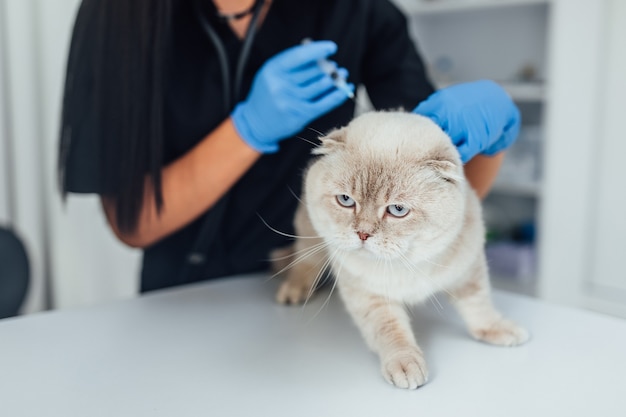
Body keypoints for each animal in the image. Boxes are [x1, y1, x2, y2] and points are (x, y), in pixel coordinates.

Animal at [272, 109, 528, 388]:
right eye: (346, 200)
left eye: (397, 210)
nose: (363, 233)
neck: (405, 262)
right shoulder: (370, 295)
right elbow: (391, 332)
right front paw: (405, 365)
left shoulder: (468, 270)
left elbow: (478, 305)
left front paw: (497, 329)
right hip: (311, 236)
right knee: (305, 261)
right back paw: (294, 290)